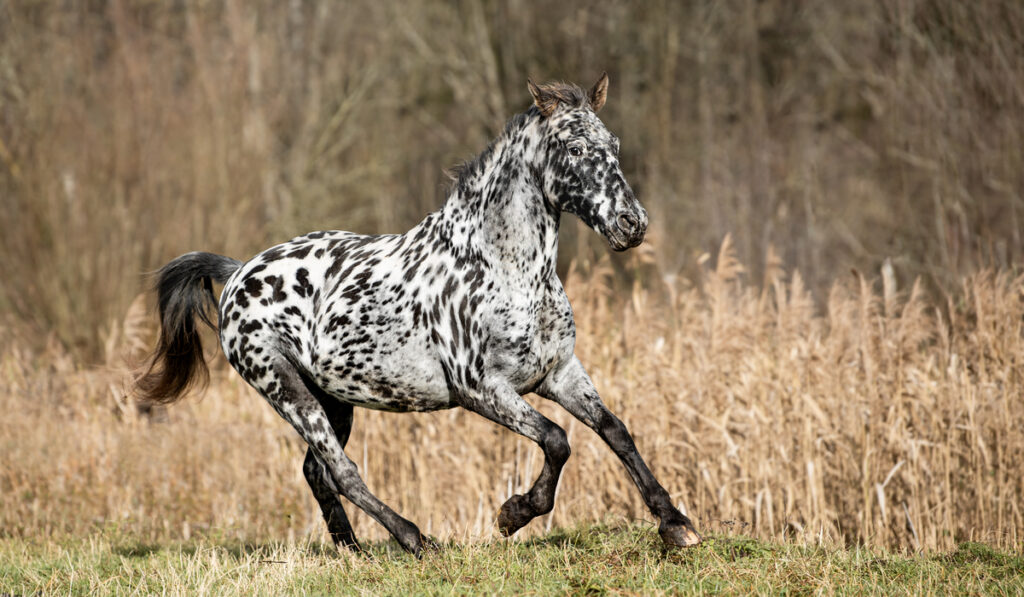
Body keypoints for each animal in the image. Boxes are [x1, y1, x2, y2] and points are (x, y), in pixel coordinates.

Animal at [138, 73, 704, 557]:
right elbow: (557, 440)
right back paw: (415, 540)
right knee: (343, 471)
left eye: (614, 146)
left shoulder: (559, 373)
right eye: (574, 148)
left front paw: (677, 525)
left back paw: (355, 552)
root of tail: (238, 272)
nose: (632, 224)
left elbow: (616, 432)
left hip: (332, 398)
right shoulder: (482, 389)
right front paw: (513, 514)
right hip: (285, 389)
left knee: (318, 472)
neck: (503, 267)